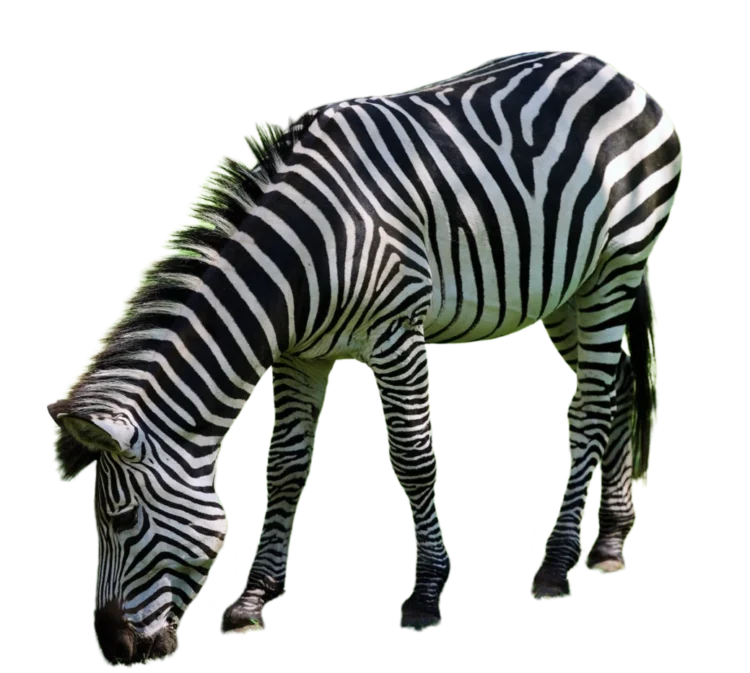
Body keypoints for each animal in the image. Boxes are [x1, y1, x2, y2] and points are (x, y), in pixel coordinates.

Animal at [46, 48, 680, 663]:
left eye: (120, 518)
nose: (113, 647)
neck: (305, 255)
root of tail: (609, 69)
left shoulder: (397, 333)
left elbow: (414, 458)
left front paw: (425, 596)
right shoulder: (299, 355)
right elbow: (285, 468)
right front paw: (252, 606)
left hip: (612, 270)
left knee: (592, 406)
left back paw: (555, 566)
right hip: (564, 290)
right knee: (618, 383)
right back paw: (610, 543)